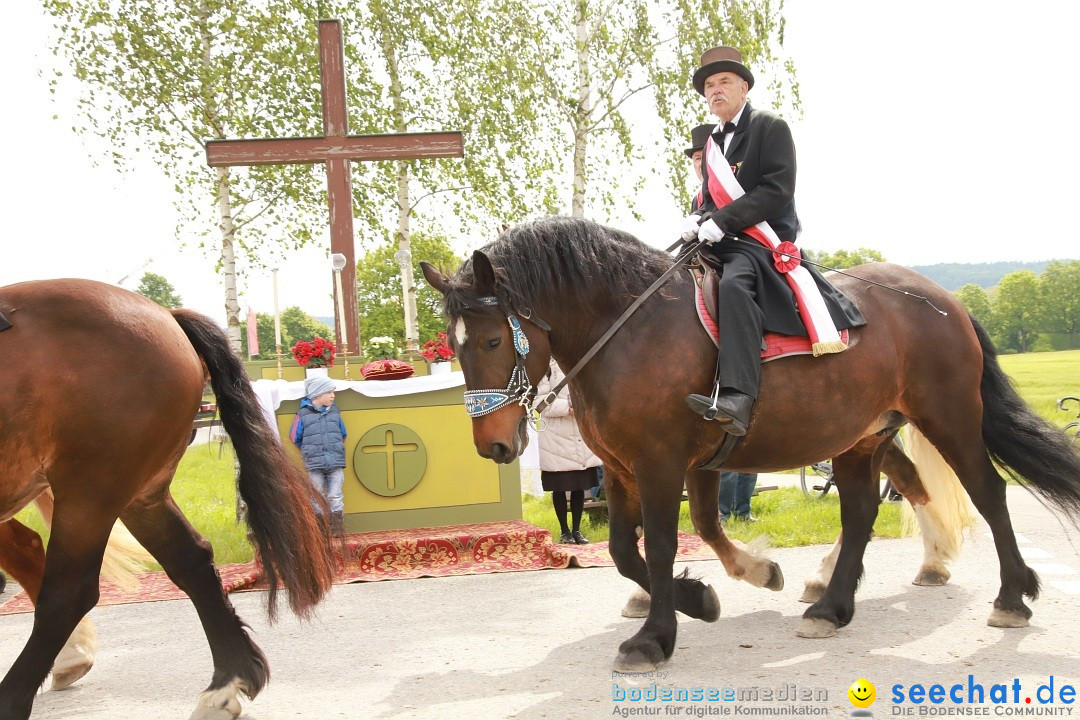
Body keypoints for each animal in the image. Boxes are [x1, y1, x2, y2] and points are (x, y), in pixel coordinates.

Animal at [0, 280, 334, 720]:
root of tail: (165, 316)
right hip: (138, 495)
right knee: (191, 560)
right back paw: (227, 684)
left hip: (93, 487)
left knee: (68, 592)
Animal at [419, 216, 1080, 673]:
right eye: (453, 344)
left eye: (491, 341)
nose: (493, 445)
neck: (629, 329)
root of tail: (943, 299)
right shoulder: (627, 470)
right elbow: (630, 549)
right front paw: (707, 593)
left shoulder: (662, 464)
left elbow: (663, 544)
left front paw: (656, 636)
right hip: (861, 439)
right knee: (864, 511)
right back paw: (833, 605)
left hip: (949, 419)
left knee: (988, 494)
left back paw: (1009, 596)